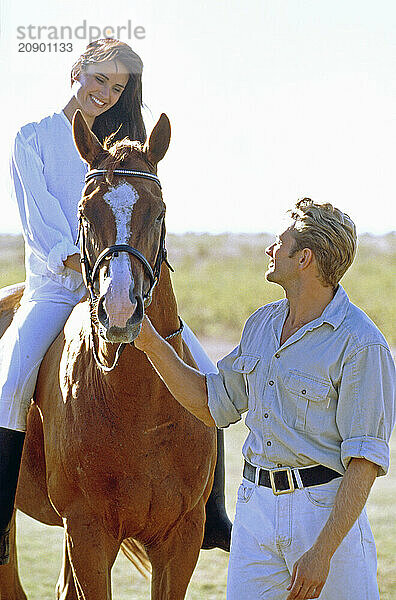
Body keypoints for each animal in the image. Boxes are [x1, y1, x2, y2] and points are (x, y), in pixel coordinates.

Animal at [0, 111, 217, 596]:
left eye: (158, 211)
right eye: (85, 211)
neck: (141, 409)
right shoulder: (89, 533)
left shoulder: (181, 538)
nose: (119, 309)